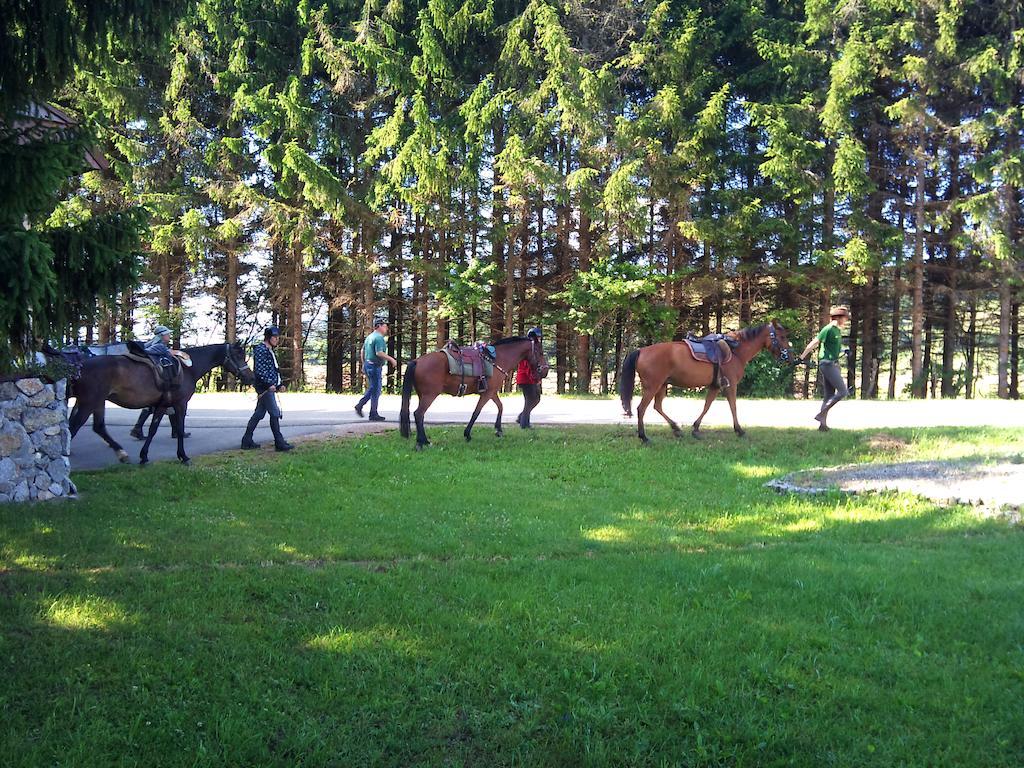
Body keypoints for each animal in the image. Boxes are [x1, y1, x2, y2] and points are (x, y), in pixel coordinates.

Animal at [70, 344, 253, 466]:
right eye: (237, 355)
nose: (250, 377)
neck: (188, 369)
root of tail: (79, 367)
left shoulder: (163, 405)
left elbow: (153, 429)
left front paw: (144, 456)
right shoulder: (180, 404)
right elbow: (179, 429)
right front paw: (183, 456)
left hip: (95, 403)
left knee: (98, 427)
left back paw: (122, 453)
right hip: (89, 403)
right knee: (75, 428)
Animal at [397, 335, 548, 450]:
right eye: (540, 352)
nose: (545, 371)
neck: (497, 359)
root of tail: (416, 361)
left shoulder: (492, 392)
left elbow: (500, 407)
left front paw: (498, 430)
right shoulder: (487, 394)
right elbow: (477, 412)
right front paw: (467, 434)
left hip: (422, 395)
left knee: (420, 415)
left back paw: (424, 440)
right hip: (430, 395)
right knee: (418, 414)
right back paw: (421, 442)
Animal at [614, 321, 790, 444]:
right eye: (782, 337)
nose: (790, 357)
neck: (736, 351)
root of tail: (641, 350)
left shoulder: (715, 386)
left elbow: (707, 405)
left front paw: (696, 428)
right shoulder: (731, 385)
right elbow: (733, 406)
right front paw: (739, 430)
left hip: (662, 386)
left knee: (657, 407)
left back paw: (676, 429)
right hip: (653, 386)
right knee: (641, 409)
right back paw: (644, 437)